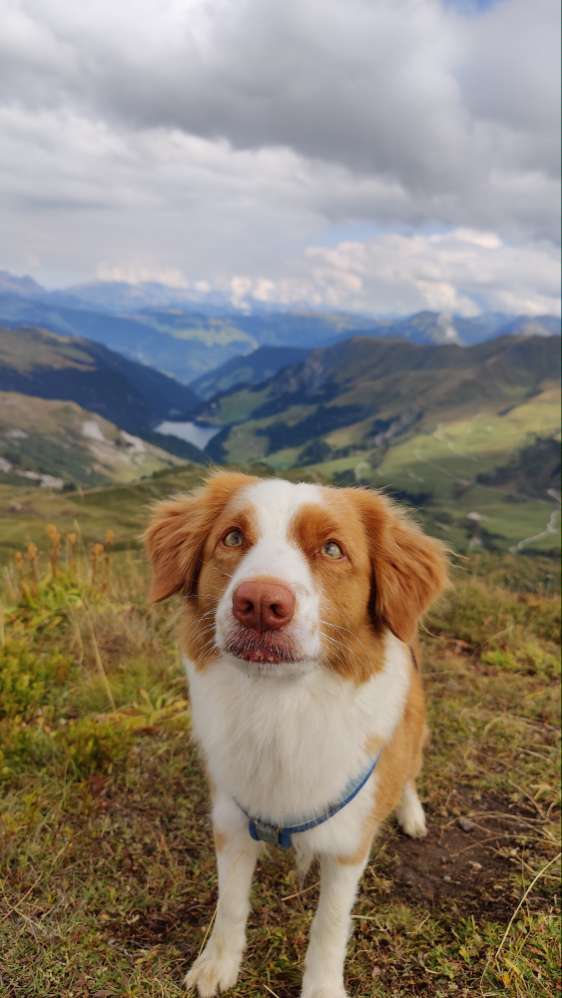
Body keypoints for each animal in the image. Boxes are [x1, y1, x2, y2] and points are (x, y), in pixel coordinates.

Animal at [144, 472, 446, 996]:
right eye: (233, 537)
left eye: (332, 549)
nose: (261, 605)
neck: (280, 708)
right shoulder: (232, 820)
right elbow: (230, 904)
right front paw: (218, 963)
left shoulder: (347, 846)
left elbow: (328, 927)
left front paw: (321, 987)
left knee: (408, 772)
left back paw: (411, 813)